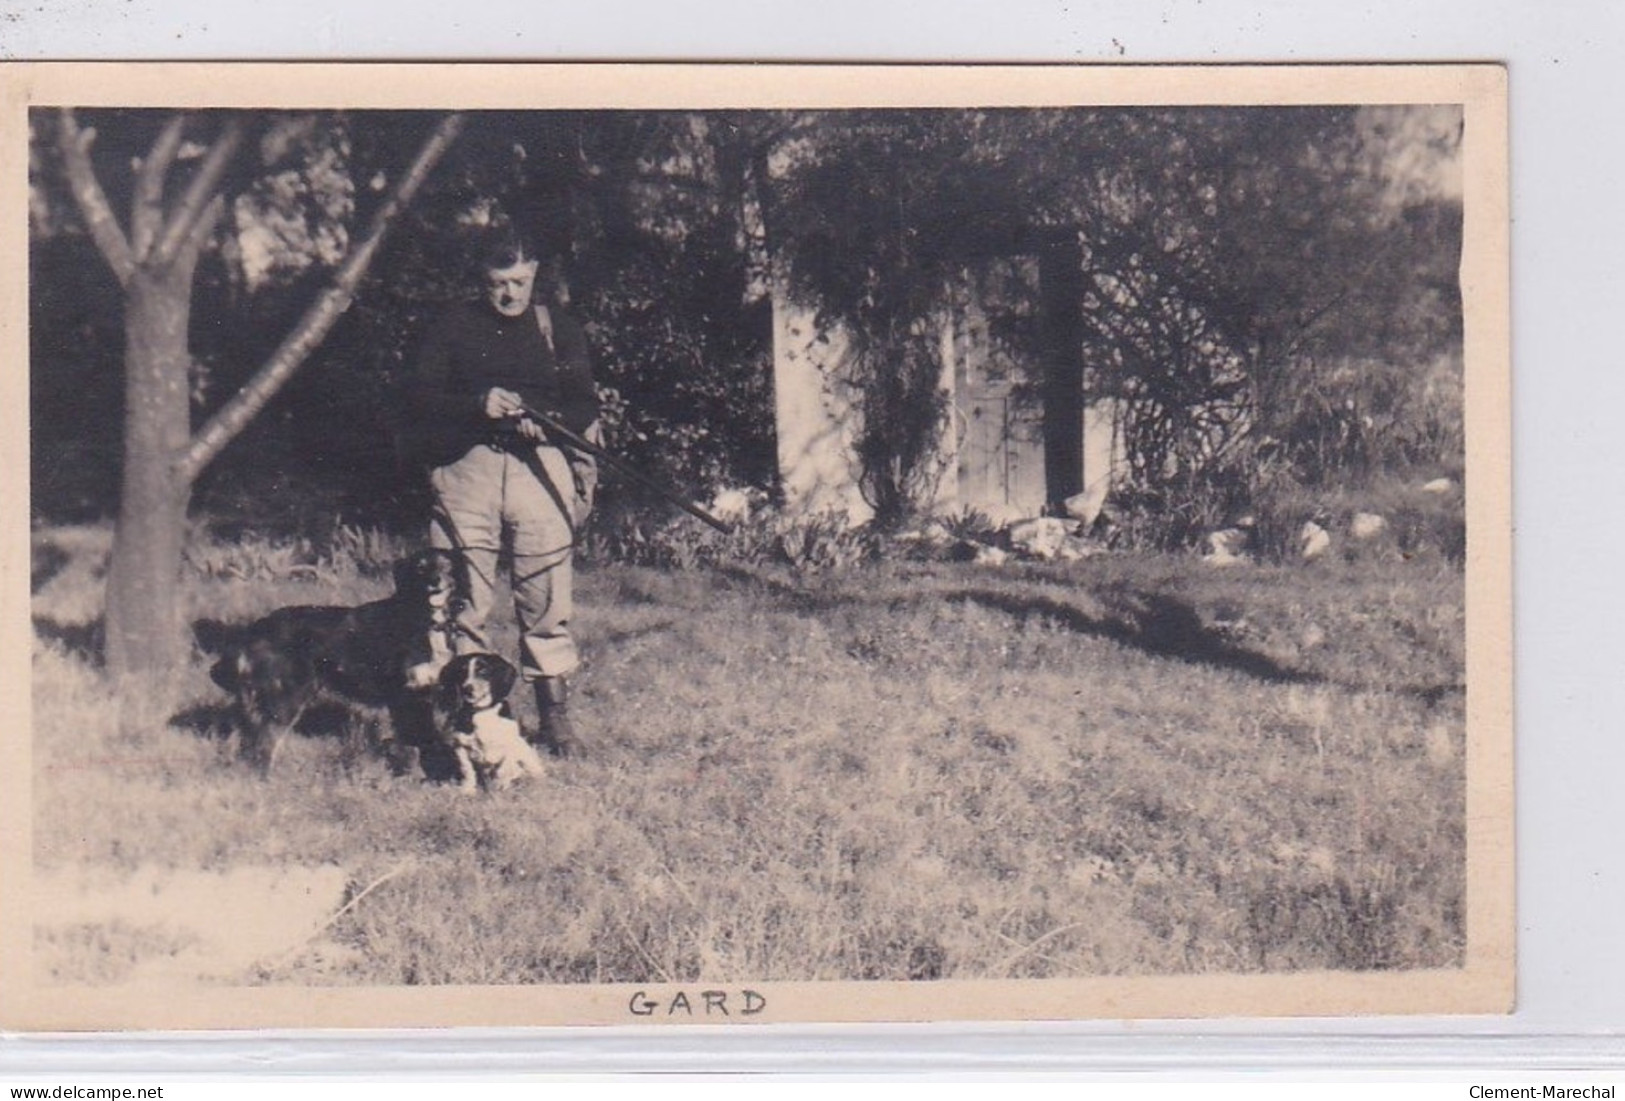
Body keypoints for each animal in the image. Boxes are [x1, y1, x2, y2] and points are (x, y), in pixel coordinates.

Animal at [208, 552, 464, 776]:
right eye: (421, 567)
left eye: (446, 565)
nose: (435, 580)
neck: (422, 619)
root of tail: (261, 625)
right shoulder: (404, 695)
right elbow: (410, 744)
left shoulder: (423, 692)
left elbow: (425, 738)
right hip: (289, 694)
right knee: (266, 739)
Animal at [435, 656, 542, 792]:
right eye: (462, 672)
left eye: (483, 671)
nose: (467, 689)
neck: (481, 712)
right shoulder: (460, 747)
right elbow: (467, 770)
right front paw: (468, 790)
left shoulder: (508, 747)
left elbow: (503, 770)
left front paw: (500, 788)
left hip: (524, 751)